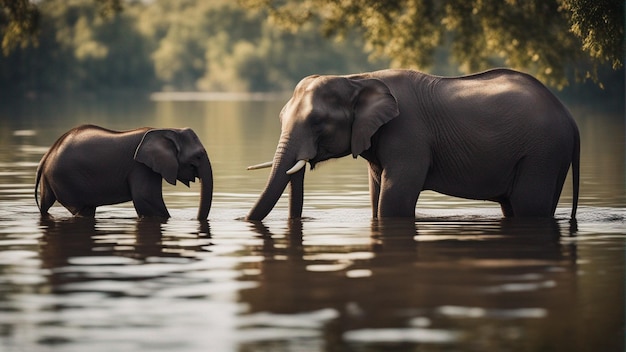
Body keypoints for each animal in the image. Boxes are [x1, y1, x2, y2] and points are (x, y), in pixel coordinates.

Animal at [35, 124, 213, 220]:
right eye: (198, 156)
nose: (194, 218)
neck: (166, 130)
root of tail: (46, 157)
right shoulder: (140, 166)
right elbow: (146, 200)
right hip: (67, 180)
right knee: (83, 209)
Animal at [246, 68, 576, 220]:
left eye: (317, 121)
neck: (358, 79)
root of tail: (570, 119)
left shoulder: (408, 136)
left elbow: (394, 200)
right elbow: (377, 198)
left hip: (542, 153)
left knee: (528, 205)